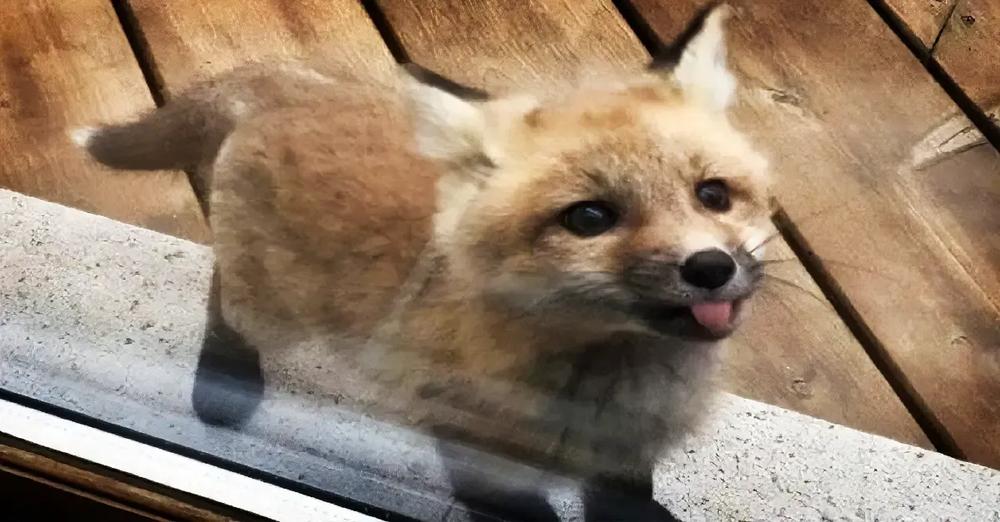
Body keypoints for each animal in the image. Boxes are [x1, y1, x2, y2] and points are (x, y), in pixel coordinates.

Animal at [78, 5, 772, 520]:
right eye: (589, 218)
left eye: (714, 195)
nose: (710, 267)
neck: (612, 386)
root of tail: (297, 89)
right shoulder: (470, 447)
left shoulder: (625, 455)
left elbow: (623, 499)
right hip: (273, 309)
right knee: (224, 296)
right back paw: (226, 382)